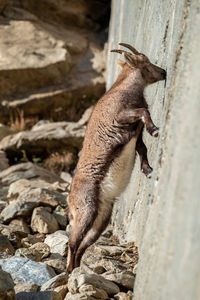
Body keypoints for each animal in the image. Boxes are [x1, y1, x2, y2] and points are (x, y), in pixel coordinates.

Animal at [66, 43, 166, 274]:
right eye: (146, 62)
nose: (164, 72)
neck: (123, 89)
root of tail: (69, 199)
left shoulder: (135, 132)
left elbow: (142, 148)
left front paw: (148, 170)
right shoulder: (121, 117)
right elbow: (144, 111)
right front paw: (155, 130)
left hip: (101, 218)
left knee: (82, 245)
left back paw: (78, 270)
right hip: (86, 211)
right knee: (73, 242)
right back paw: (69, 273)